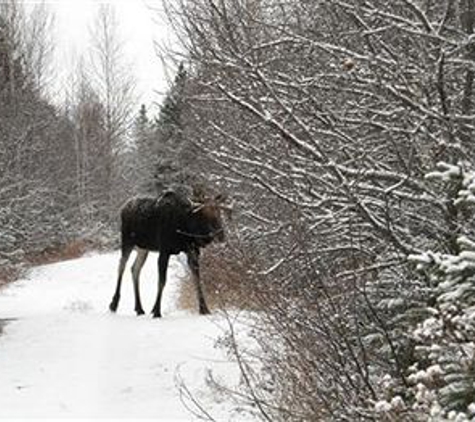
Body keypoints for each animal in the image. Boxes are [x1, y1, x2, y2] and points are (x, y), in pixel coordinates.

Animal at [109, 186, 228, 318]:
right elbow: (162, 281)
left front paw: (204, 309)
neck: (186, 226)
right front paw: (156, 311)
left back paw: (139, 308)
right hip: (127, 241)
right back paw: (114, 304)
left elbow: (197, 279)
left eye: (219, 212)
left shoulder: (192, 251)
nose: (221, 235)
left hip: (143, 247)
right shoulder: (164, 251)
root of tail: (123, 208)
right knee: (122, 265)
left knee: (135, 268)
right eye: (204, 213)